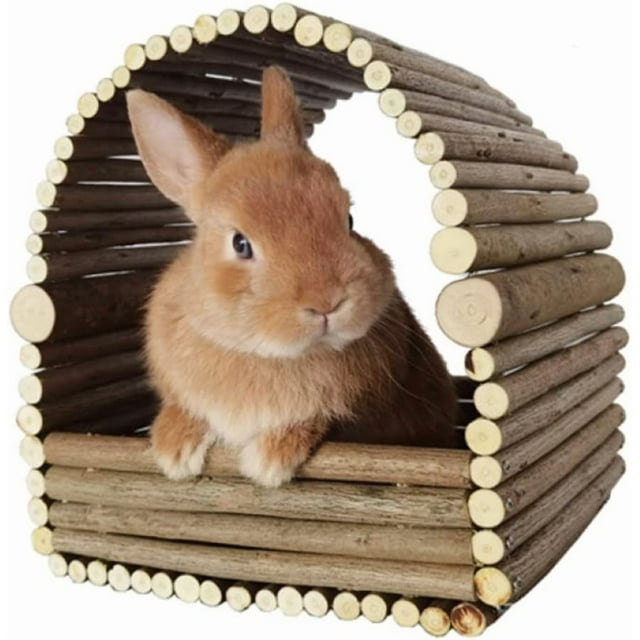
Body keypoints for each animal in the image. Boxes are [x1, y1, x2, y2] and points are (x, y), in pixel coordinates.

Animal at [126, 66, 458, 488]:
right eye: (240, 244)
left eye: (349, 220)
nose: (327, 303)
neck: (265, 353)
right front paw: (174, 451)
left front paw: (271, 461)